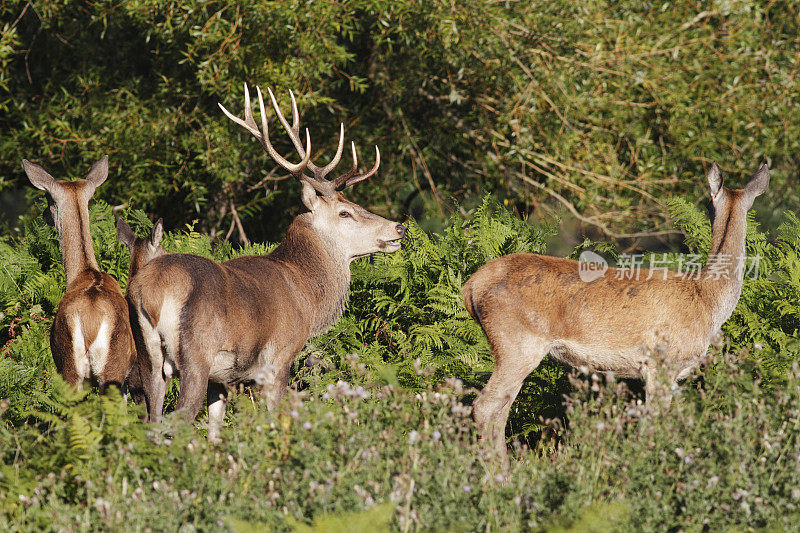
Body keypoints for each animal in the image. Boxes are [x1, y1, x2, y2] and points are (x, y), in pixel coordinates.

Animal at [20, 156, 136, 388]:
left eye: (48, 197)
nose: (44, 215)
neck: (83, 273)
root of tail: (90, 325)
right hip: (101, 370)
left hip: (72, 368)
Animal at [131, 85, 410, 438]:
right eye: (345, 212)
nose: (398, 227)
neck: (307, 299)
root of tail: (151, 292)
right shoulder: (279, 356)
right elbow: (278, 420)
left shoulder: (222, 378)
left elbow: (215, 433)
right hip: (196, 353)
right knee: (177, 418)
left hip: (148, 357)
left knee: (150, 420)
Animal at [466, 163, 772, 462]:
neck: (708, 299)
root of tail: (471, 287)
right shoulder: (661, 363)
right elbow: (654, 423)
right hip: (517, 343)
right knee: (485, 406)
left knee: (500, 409)